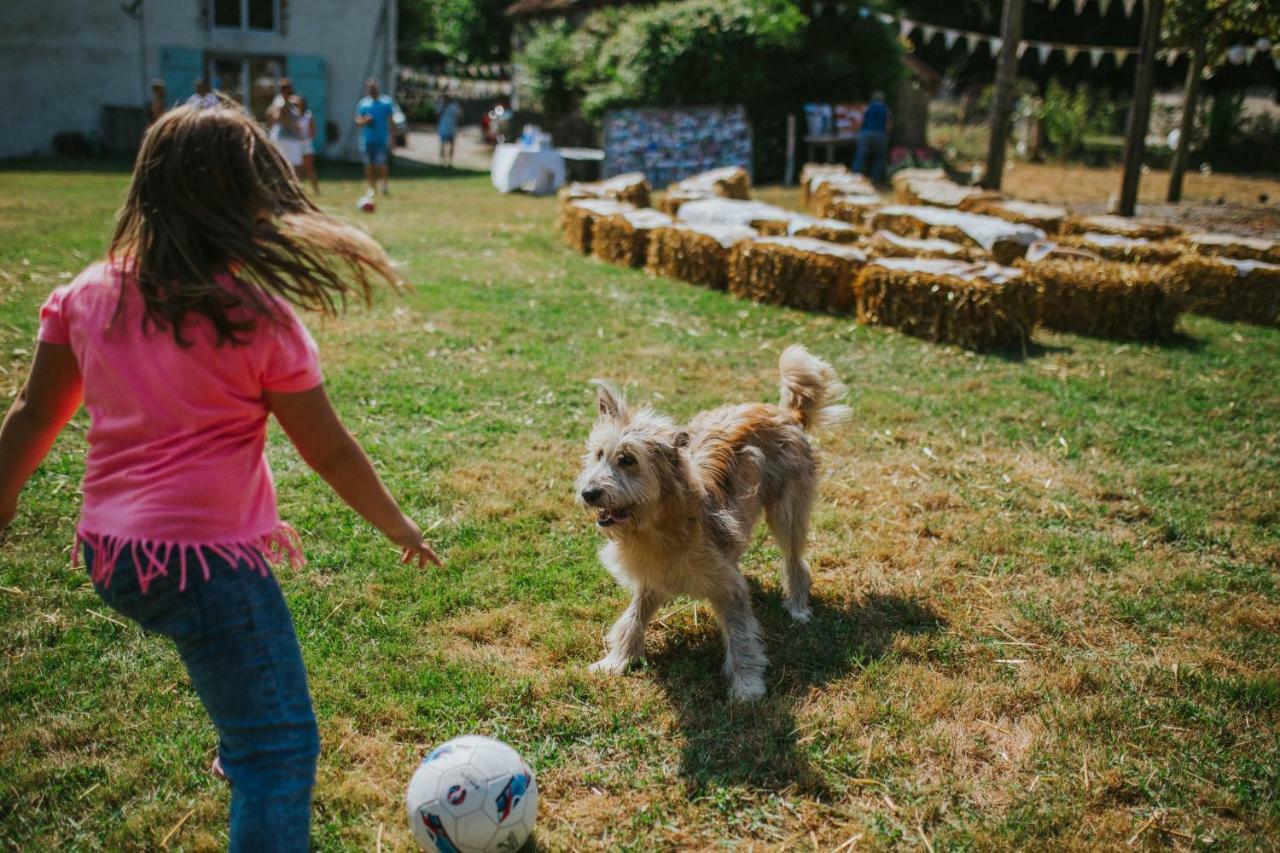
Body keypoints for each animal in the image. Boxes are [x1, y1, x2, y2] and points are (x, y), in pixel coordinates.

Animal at [576, 343, 844, 696]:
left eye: (628, 460)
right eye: (598, 455)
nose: (588, 493)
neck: (663, 526)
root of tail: (785, 414)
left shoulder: (728, 587)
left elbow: (742, 637)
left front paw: (747, 686)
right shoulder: (651, 579)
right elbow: (632, 619)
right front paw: (616, 661)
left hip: (788, 514)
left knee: (794, 561)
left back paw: (798, 606)